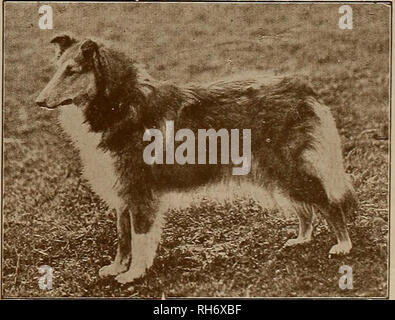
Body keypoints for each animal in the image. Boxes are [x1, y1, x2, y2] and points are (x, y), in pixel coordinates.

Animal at [37, 35, 358, 284]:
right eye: (58, 70)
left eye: (72, 71)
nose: (38, 101)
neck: (119, 103)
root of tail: (300, 86)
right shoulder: (123, 194)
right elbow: (123, 237)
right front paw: (117, 267)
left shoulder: (140, 193)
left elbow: (139, 239)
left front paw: (134, 274)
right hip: (276, 173)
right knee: (306, 210)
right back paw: (301, 239)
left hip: (287, 169)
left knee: (327, 202)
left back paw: (343, 245)